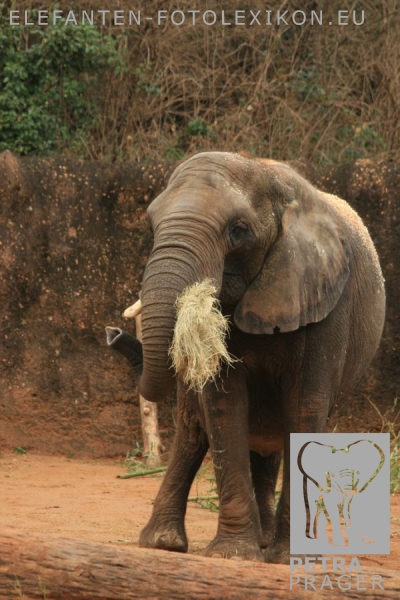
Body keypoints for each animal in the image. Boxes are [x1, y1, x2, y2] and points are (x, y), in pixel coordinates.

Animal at [106, 151, 385, 563]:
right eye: (151, 224)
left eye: (238, 230)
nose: (112, 334)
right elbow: (224, 406)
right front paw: (233, 555)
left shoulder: (329, 303)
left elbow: (304, 407)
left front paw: (289, 559)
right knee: (193, 432)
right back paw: (164, 543)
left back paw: (265, 542)